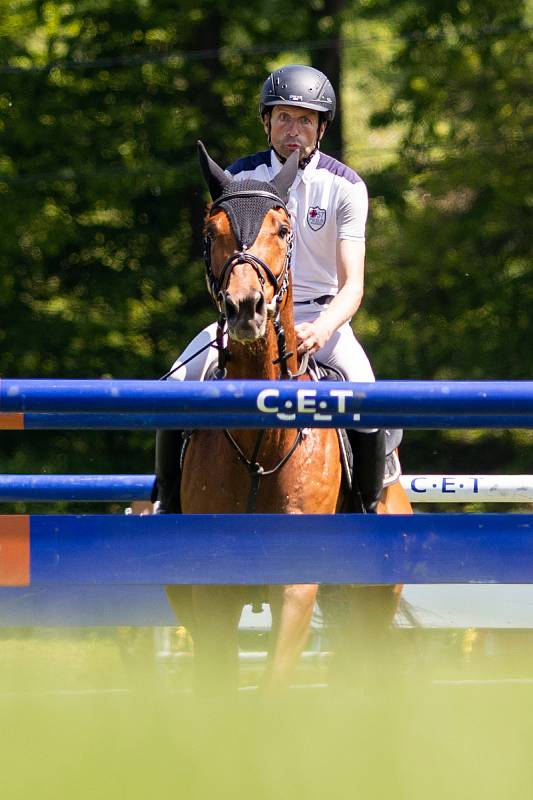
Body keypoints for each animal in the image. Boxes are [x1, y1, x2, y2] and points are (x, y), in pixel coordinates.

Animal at [166, 145, 412, 692]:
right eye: (211, 231)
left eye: (283, 230)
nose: (246, 308)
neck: (261, 442)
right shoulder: (211, 592)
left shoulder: (297, 586)